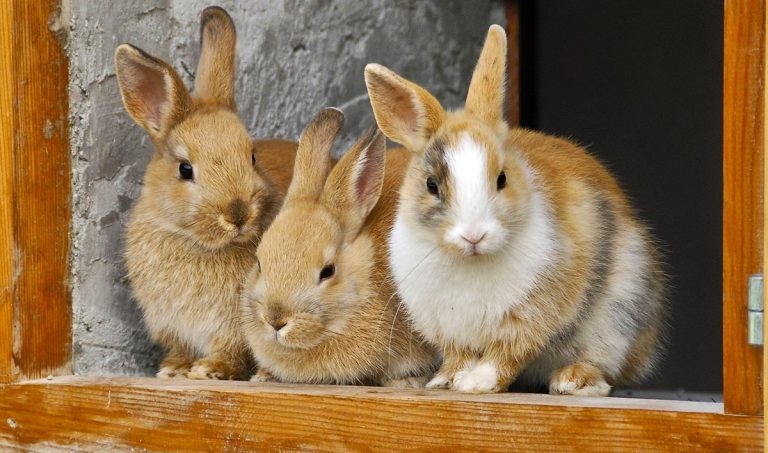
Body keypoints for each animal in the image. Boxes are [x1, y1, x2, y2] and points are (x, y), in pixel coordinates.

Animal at [115, 6, 297, 380]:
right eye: (185, 169)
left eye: (252, 156)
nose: (238, 214)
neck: (197, 243)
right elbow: (182, 348)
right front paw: (174, 369)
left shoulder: (235, 326)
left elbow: (232, 350)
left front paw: (210, 370)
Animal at [364, 24, 667, 395]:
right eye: (431, 185)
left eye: (502, 178)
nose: (474, 235)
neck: (470, 262)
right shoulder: (446, 327)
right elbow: (459, 355)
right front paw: (445, 381)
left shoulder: (528, 316)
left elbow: (506, 353)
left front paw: (476, 383)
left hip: (619, 315)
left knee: (604, 367)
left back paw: (572, 381)